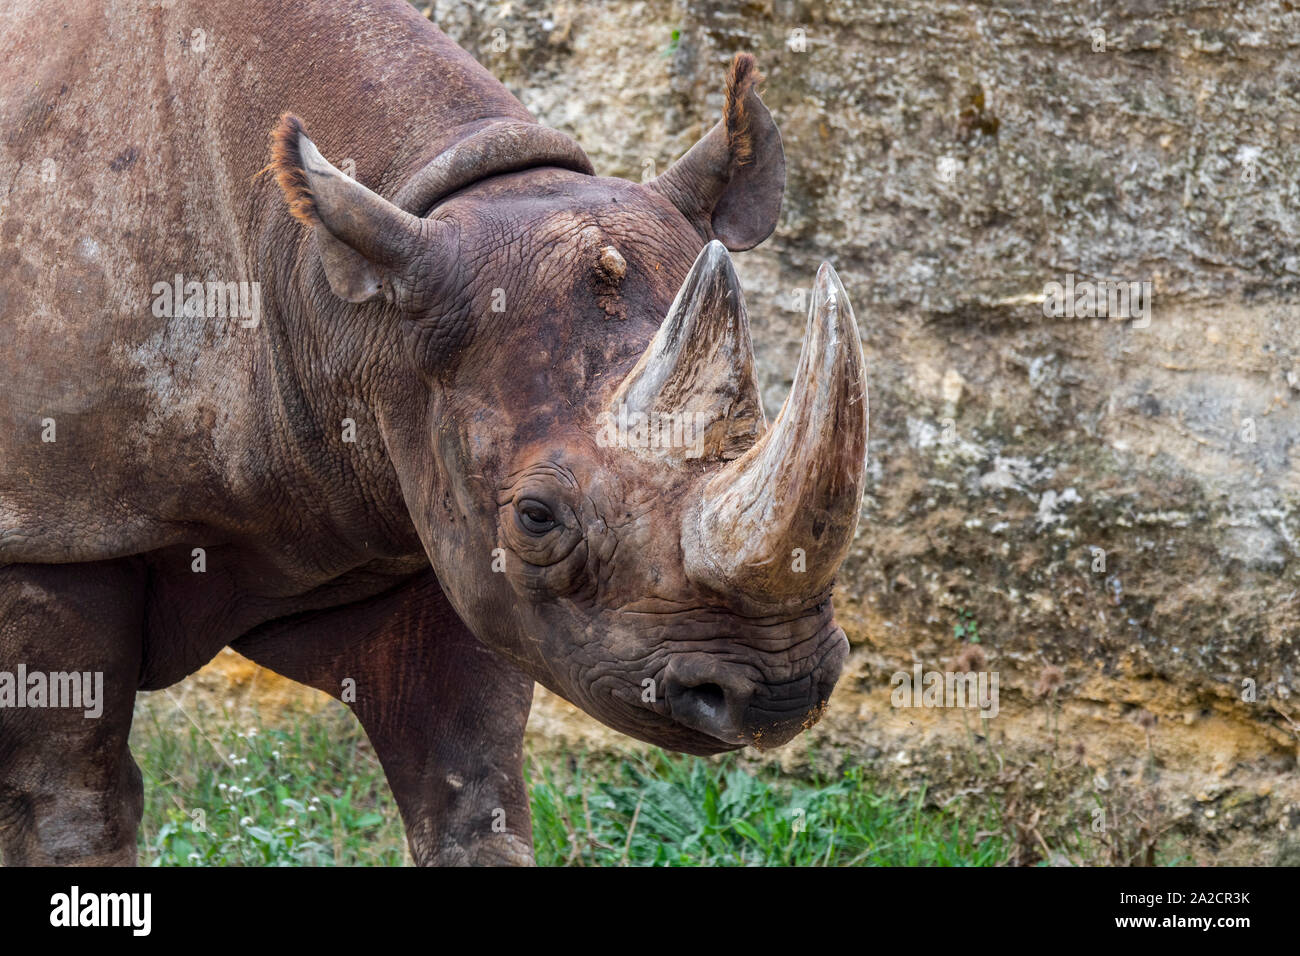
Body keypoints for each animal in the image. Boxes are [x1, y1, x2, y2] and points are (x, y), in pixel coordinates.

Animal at [0, 0, 868, 866]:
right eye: (536, 518)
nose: (777, 689)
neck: (342, 305)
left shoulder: (427, 521)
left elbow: (471, 788)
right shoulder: (52, 534)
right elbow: (71, 811)